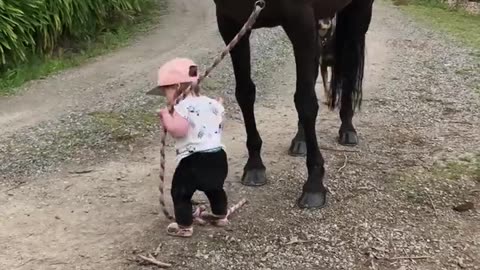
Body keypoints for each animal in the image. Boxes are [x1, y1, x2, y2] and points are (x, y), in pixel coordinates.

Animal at [214, 0, 376, 209]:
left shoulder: (300, 23)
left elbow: (306, 102)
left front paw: (314, 185)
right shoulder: (231, 24)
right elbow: (245, 93)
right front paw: (254, 165)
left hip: (359, 12)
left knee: (349, 67)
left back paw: (347, 130)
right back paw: (301, 140)